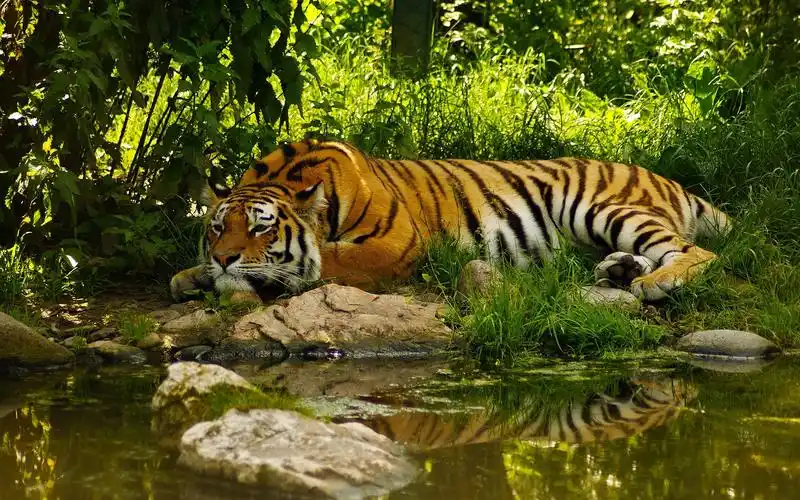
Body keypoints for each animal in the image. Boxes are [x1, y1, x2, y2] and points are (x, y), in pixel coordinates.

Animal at [170, 138, 730, 302]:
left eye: (261, 227)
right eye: (218, 226)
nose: (224, 258)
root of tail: (666, 178)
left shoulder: (396, 243)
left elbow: (326, 260)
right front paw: (191, 275)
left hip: (598, 206)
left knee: (697, 252)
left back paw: (654, 282)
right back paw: (620, 271)